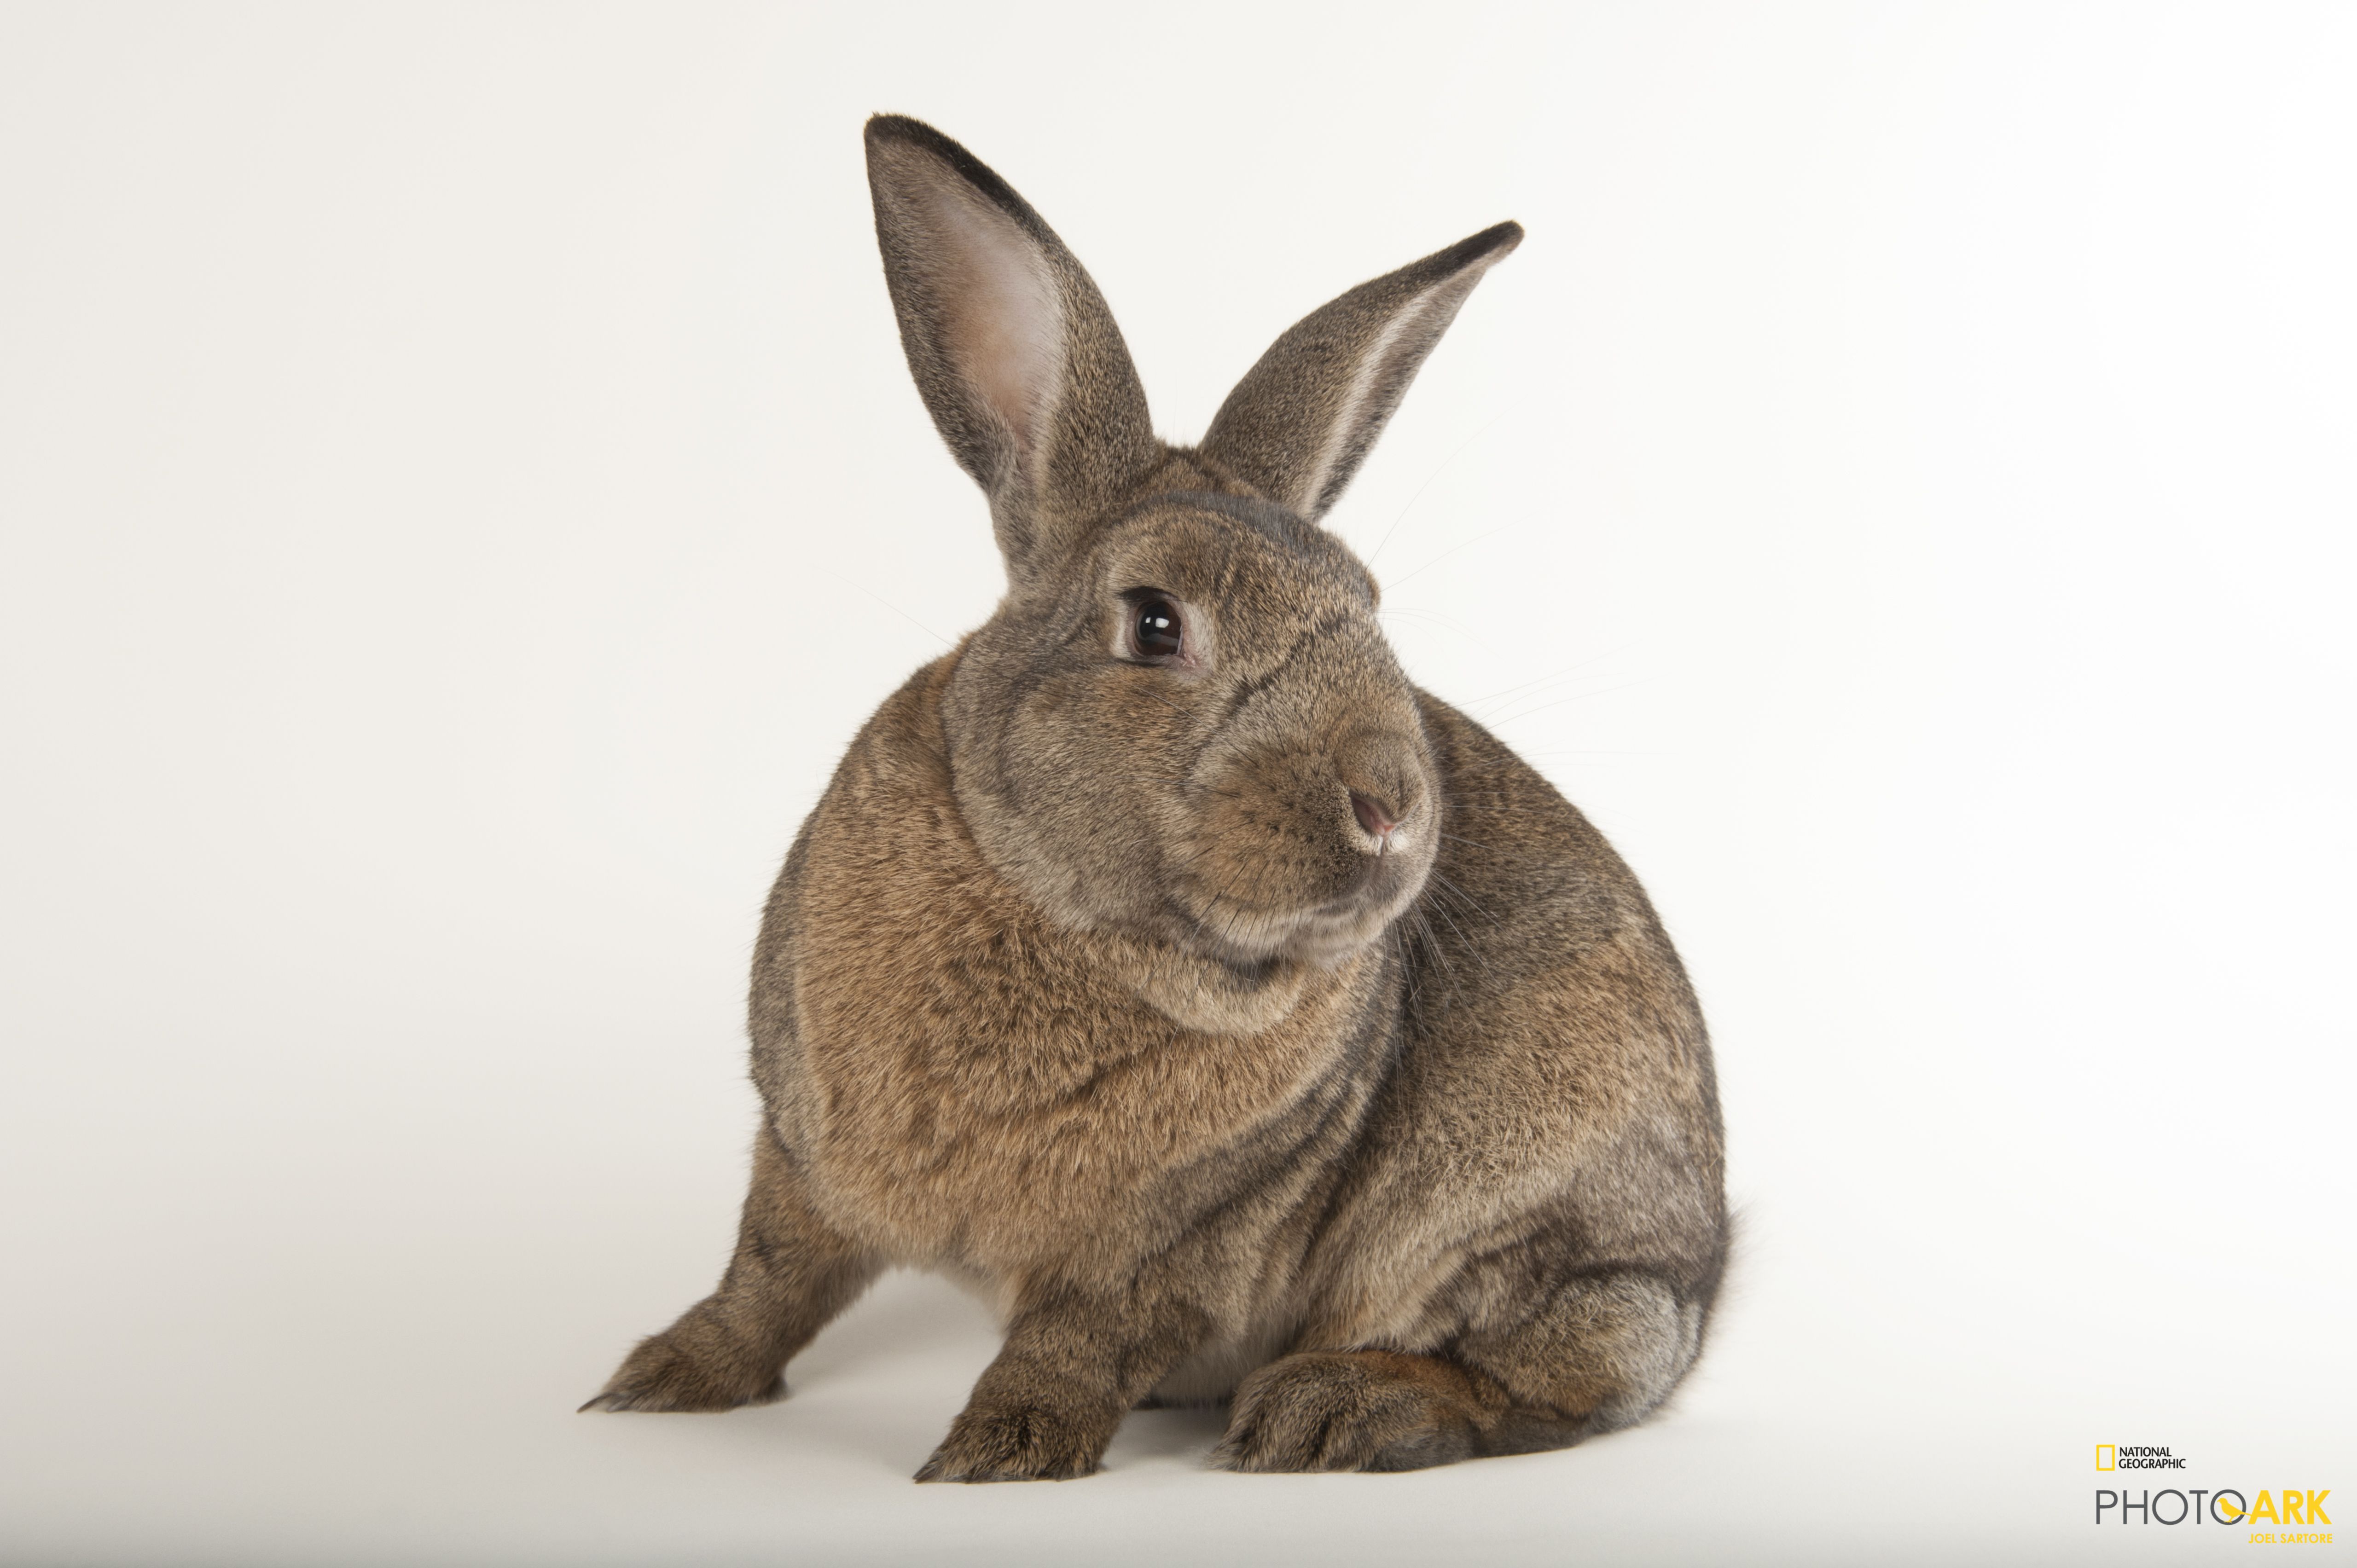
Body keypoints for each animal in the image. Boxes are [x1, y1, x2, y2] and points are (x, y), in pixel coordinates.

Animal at [582, 114, 1727, 1482]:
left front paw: (997, 1451)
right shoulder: (800, 1156)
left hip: (1519, 1208)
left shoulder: (1170, 1246)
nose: (1391, 800)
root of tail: (1705, 1273)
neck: (1074, 916)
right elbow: (765, 1281)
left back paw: (1335, 1408)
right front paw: (654, 1384)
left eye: (1368, 608)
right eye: (1155, 623)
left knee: (1555, 1375)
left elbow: (1074, 1341)